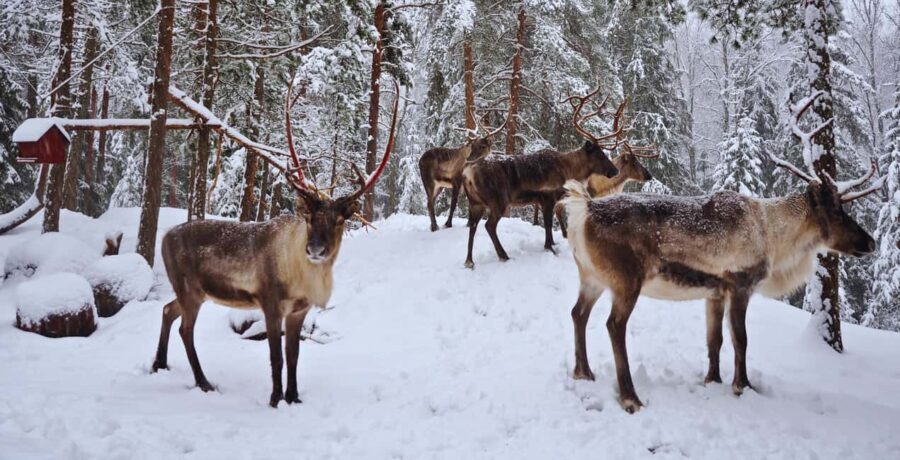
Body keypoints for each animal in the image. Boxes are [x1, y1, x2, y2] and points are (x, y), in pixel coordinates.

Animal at [150, 79, 400, 408]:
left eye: (339, 220)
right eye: (309, 217)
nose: (315, 250)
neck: (301, 274)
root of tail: (164, 237)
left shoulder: (298, 311)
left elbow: (293, 356)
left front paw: (294, 397)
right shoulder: (270, 303)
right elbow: (276, 357)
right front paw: (274, 398)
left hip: (194, 292)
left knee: (167, 310)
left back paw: (159, 364)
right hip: (190, 289)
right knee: (185, 329)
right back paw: (203, 382)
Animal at [461, 85, 628, 269]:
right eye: (599, 154)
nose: (615, 171)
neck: (569, 171)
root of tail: (469, 173)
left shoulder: (544, 201)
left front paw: (553, 244)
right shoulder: (547, 197)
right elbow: (548, 224)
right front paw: (550, 248)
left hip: (475, 202)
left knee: (473, 226)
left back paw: (469, 261)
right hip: (499, 200)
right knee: (489, 225)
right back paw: (503, 255)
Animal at [560, 91, 883, 413]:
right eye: (836, 210)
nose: (871, 243)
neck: (772, 236)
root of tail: (585, 209)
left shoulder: (714, 292)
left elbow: (713, 340)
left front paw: (712, 380)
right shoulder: (740, 284)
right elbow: (741, 339)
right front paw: (743, 386)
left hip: (592, 277)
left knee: (578, 313)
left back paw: (583, 372)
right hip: (627, 281)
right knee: (613, 325)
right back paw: (630, 397)